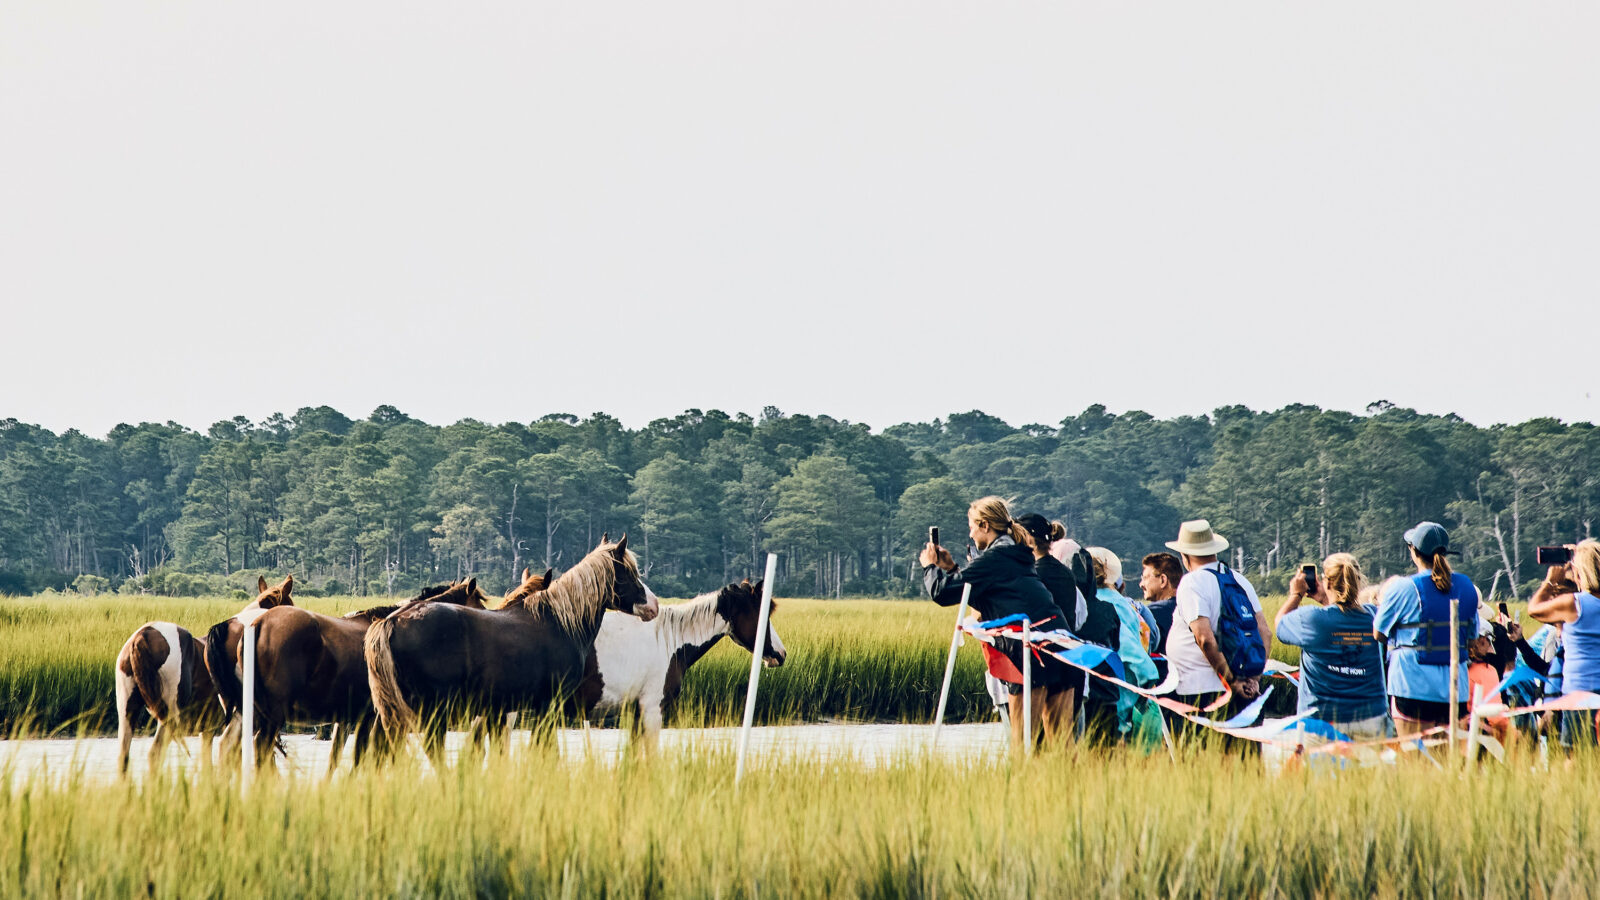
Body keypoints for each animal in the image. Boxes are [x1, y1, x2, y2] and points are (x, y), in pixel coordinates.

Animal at [213, 580, 491, 774]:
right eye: (479, 606)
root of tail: (257, 624)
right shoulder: (375, 719)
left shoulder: (352, 720)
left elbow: (343, 760)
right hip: (271, 716)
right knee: (260, 751)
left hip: (246, 713)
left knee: (230, 748)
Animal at [365, 536, 658, 764]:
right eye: (629, 572)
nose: (652, 606)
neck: (559, 622)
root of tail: (391, 621)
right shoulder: (548, 706)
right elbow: (545, 751)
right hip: (432, 710)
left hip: (392, 711)